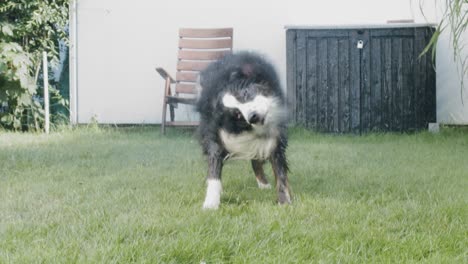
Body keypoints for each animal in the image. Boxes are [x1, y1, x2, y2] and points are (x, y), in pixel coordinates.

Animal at [196, 51, 290, 208]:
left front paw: (284, 201)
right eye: (237, 115)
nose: (253, 117)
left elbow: (279, 168)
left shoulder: (274, 132)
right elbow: (214, 161)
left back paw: (264, 184)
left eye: (245, 94)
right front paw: (211, 203)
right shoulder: (215, 131)